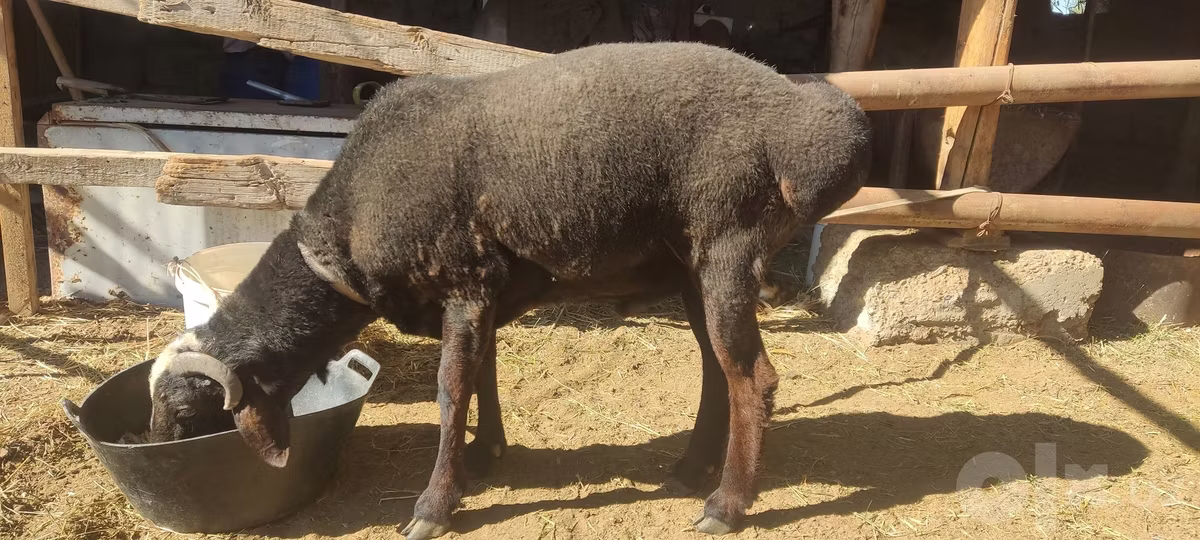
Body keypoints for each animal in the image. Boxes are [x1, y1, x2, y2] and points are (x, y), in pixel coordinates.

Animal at [146, 41, 871, 538]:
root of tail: (818, 122)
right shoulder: (480, 292)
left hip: (728, 246)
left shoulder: (463, 282)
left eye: (183, 407)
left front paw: (434, 505)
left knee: (754, 380)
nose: (154, 453)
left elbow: (449, 391)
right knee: (719, 374)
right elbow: (482, 377)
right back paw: (694, 470)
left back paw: (726, 504)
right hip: (695, 268)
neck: (346, 235)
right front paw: (485, 455)